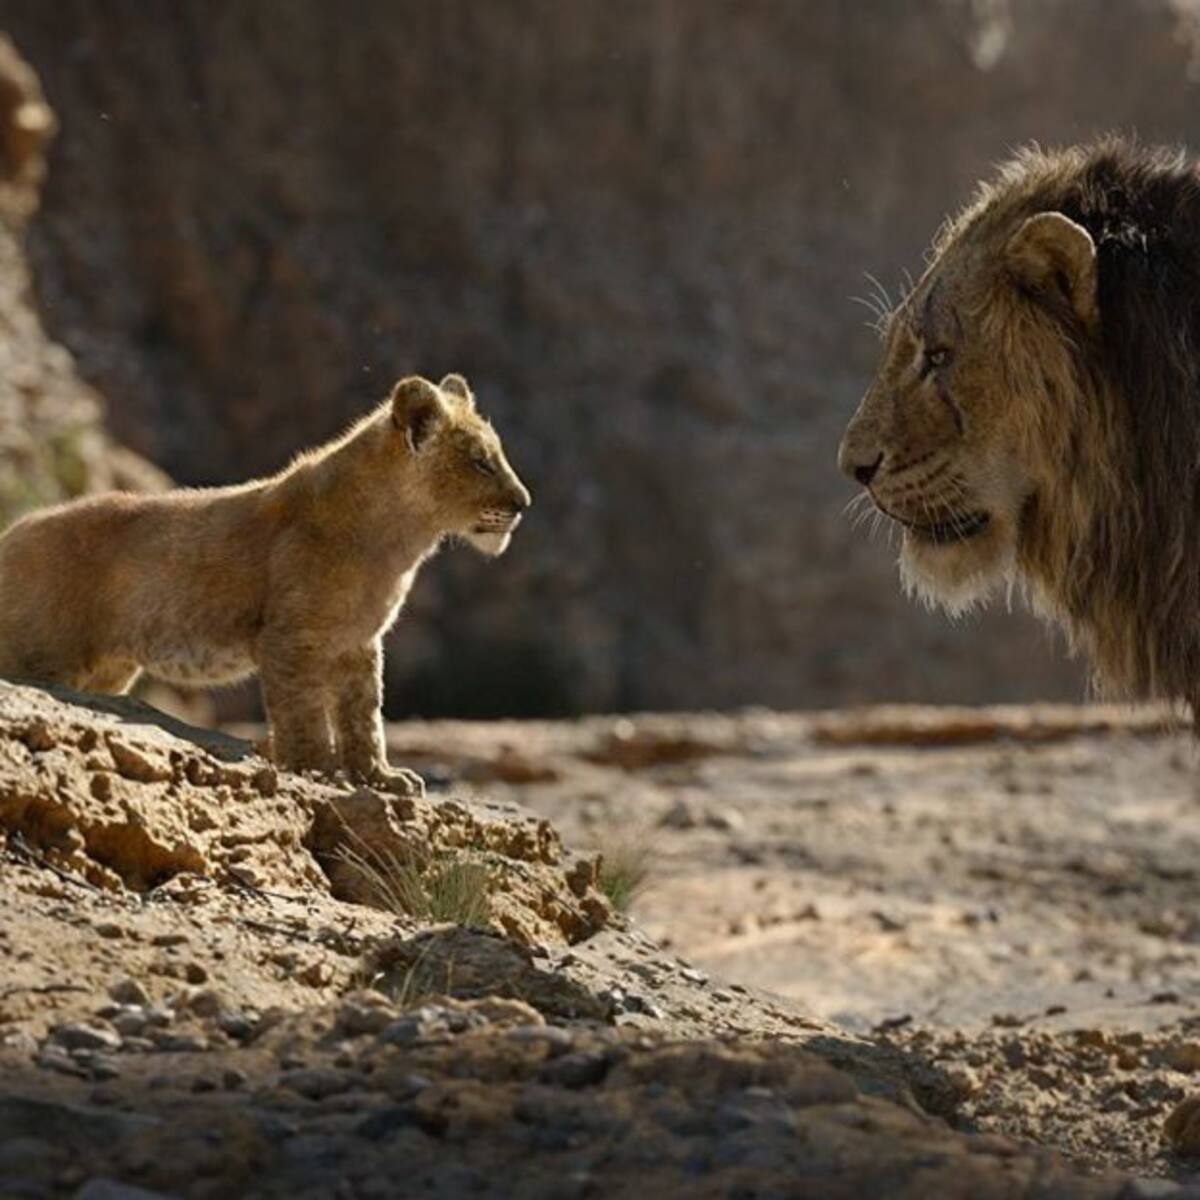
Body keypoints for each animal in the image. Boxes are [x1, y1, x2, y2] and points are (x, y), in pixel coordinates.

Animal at [0, 374, 531, 794]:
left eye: (496, 455)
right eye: (481, 461)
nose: (524, 503)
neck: (399, 538)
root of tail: (10, 533)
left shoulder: (359, 642)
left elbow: (364, 714)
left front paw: (380, 777)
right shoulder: (289, 638)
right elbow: (304, 712)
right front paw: (318, 770)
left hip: (107, 671)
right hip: (42, 656)